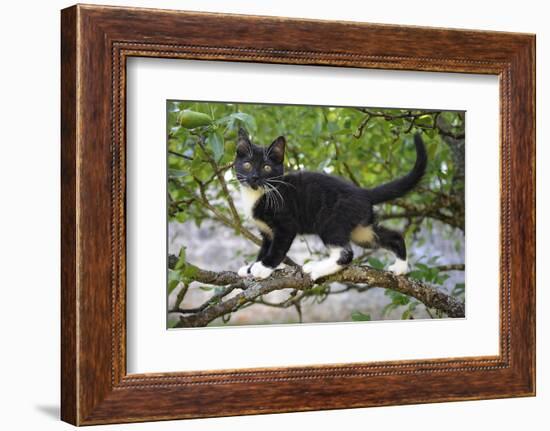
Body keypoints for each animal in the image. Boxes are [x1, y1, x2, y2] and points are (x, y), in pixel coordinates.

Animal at [235, 126, 430, 282]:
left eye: (266, 167)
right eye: (247, 165)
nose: (254, 177)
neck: (260, 193)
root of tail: (362, 192)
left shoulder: (286, 225)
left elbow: (277, 249)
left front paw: (262, 268)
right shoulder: (266, 232)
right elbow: (265, 248)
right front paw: (251, 267)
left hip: (330, 220)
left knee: (345, 254)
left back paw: (315, 268)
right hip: (361, 230)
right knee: (392, 236)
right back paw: (401, 268)